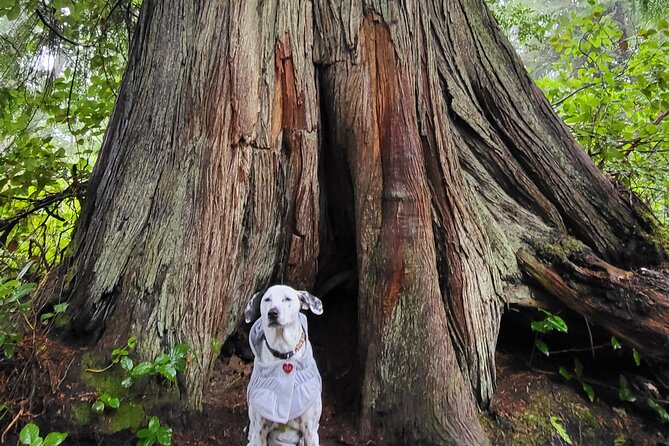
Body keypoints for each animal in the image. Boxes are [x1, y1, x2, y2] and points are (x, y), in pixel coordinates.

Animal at [245, 286, 324, 446]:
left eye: (287, 298)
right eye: (267, 299)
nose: (272, 313)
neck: (283, 355)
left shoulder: (310, 431)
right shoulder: (260, 431)